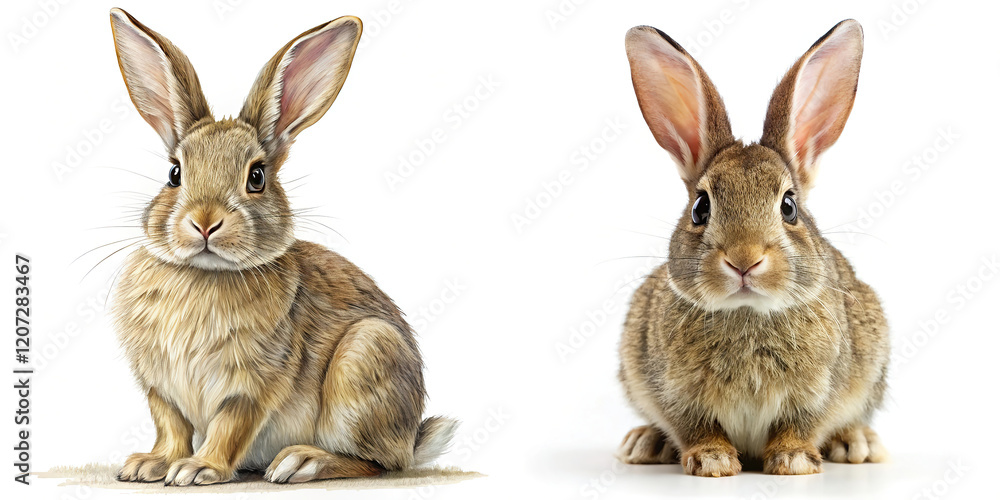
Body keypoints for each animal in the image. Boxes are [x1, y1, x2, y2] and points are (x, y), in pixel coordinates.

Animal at [107, 8, 457, 486]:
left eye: (256, 176)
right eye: (174, 173)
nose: (204, 222)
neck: (205, 274)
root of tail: (412, 437)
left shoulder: (254, 384)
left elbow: (230, 427)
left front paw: (198, 469)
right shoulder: (161, 388)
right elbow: (171, 425)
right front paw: (151, 465)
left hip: (364, 361)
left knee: (379, 462)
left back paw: (302, 462)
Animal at [616, 20, 890, 476]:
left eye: (789, 206)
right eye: (701, 207)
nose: (744, 260)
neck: (748, 312)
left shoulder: (819, 392)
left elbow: (800, 425)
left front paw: (794, 460)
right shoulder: (672, 392)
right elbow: (695, 427)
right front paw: (712, 460)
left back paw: (858, 444)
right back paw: (644, 443)